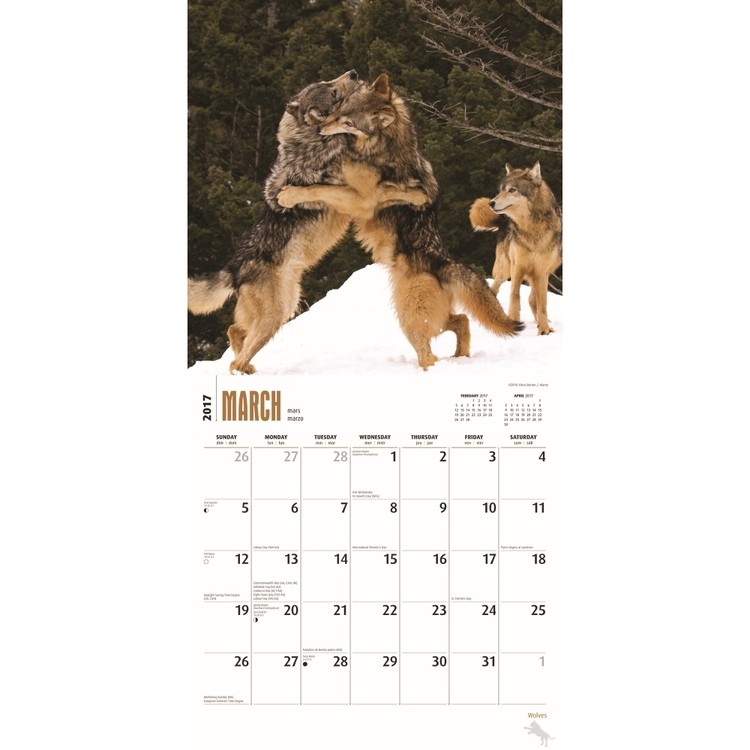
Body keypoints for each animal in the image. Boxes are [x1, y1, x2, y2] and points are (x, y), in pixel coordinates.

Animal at [277, 73, 523, 370]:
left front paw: (288, 194)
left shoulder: (360, 198)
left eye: (349, 123)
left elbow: (317, 189)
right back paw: (460, 356)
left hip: (410, 319)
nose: (322, 129)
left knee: (430, 352)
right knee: (462, 321)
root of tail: (443, 262)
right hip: (431, 318)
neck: (382, 147)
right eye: (341, 108)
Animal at [470, 162, 562, 335]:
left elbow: (543, 305)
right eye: (501, 190)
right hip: (503, 270)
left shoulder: (541, 271)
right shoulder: (517, 266)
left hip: (543, 271)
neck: (533, 229)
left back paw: (542, 323)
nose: (491, 203)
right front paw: (514, 320)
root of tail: (503, 222)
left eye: (512, 190)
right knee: (494, 291)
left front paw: (544, 330)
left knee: (532, 299)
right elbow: (514, 295)